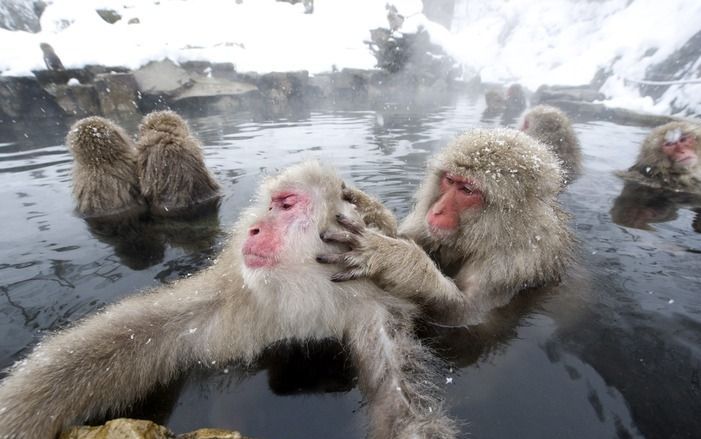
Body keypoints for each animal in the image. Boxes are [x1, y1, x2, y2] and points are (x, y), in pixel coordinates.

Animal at [0, 162, 454, 439]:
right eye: (269, 204)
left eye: (286, 205)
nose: (253, 229)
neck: (305, 292)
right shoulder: (224, 304)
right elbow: (121, 340)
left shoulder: (377, 315)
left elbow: (402, 407)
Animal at [320, 128, 572, 326]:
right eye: (449, 180)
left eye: (467, 190)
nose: (437, 210)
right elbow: (405, 235)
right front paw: (368, 209)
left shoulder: (513, 261)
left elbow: (464, 314)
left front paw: (388, 256)